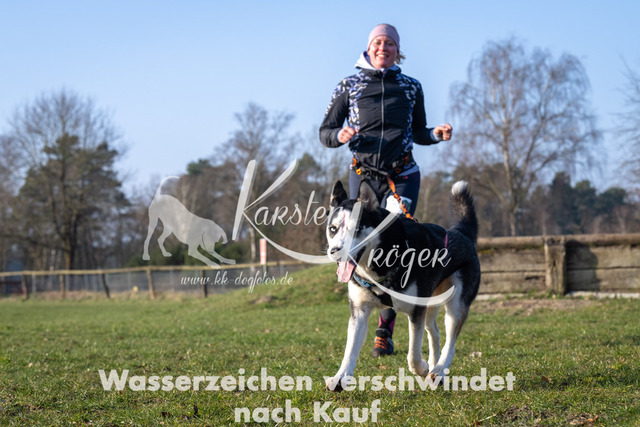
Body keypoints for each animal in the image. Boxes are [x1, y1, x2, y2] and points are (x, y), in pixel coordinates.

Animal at [325, 179, 480, 391]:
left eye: (356, 229)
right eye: (333, 229)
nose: (335, 252)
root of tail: (460, 232)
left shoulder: (416, 311)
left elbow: (413, 354)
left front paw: (422, 368)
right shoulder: (359, 310)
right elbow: (350, 350)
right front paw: (341, 377)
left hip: (455, 306)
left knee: (450, 341)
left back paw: (438, 370)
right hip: (431, 304)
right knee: (435, 332)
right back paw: (434, 365)